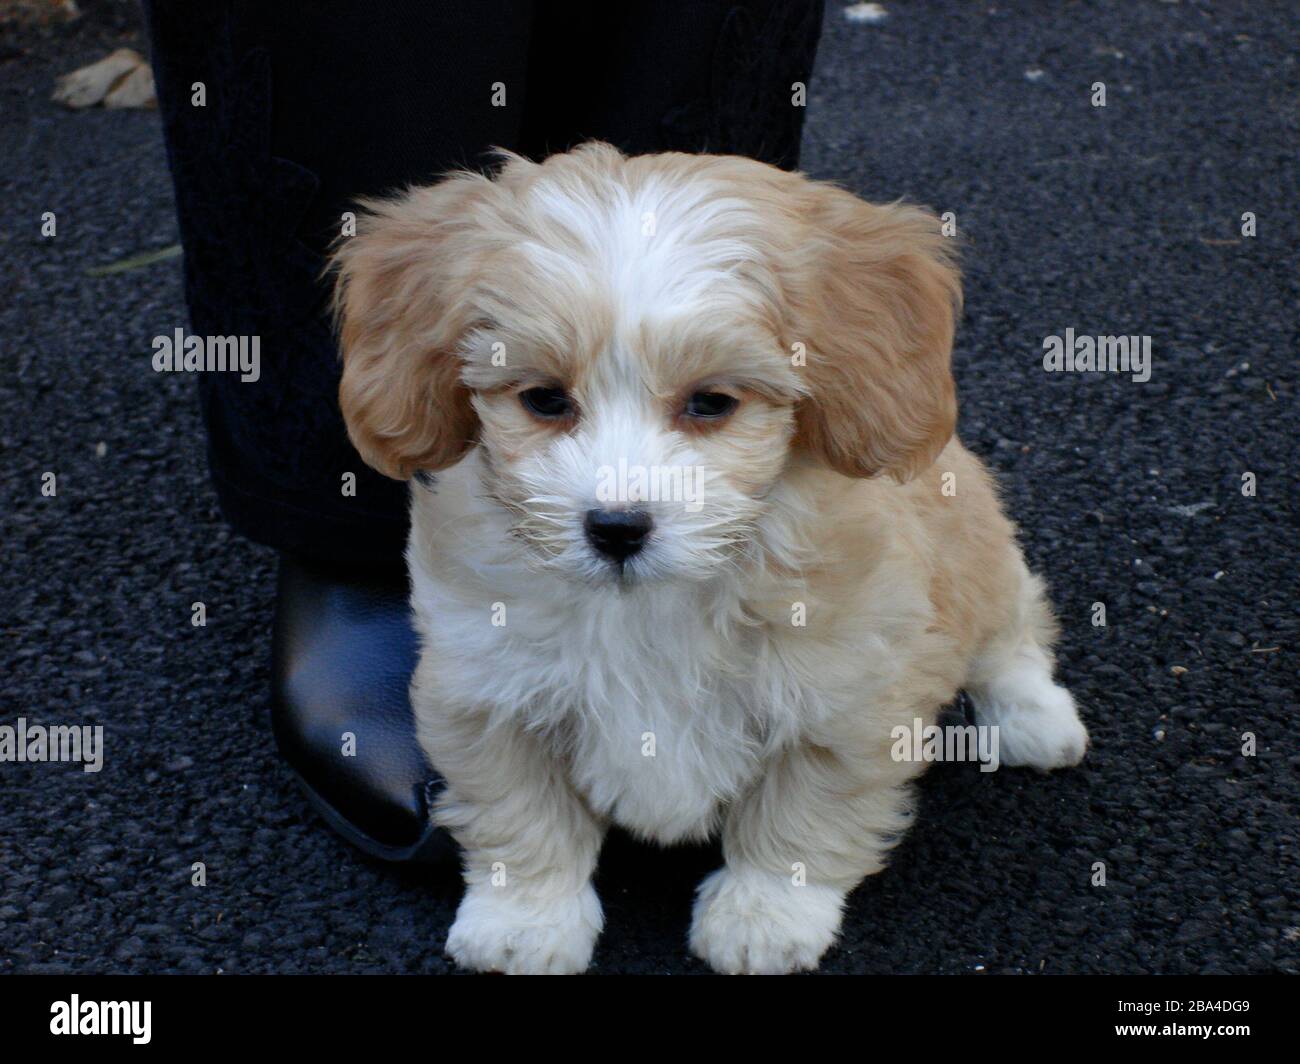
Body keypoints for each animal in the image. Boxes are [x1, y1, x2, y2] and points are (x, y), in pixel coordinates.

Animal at [330, 141, 1092, 967]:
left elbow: (804, 814)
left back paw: (1032, 716)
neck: (656, 601)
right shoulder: (486, 688)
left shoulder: (848, 696)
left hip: (976, 545)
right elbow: (520, 812)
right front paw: (525, 920)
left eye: (711, 404)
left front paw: (765, 915)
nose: (616, 527)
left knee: (1012, 629)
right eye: (544, 399)